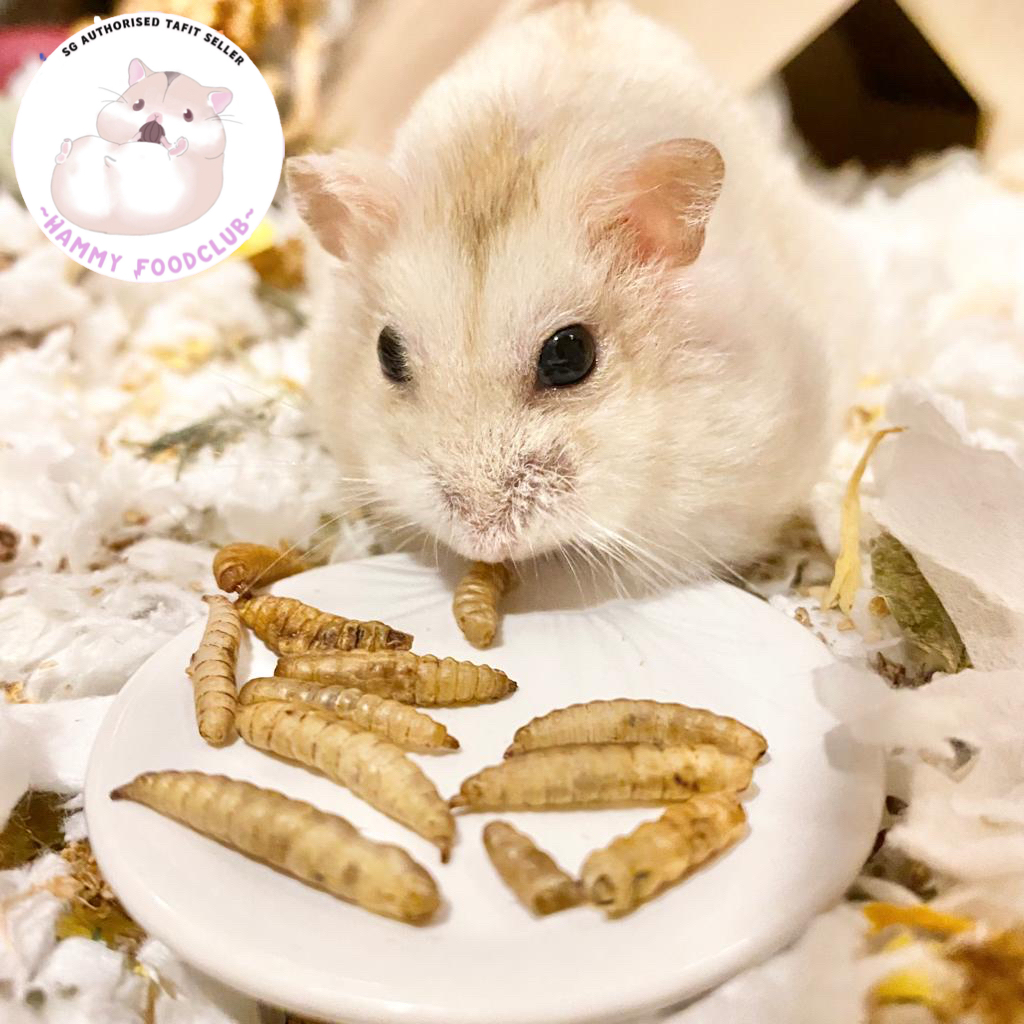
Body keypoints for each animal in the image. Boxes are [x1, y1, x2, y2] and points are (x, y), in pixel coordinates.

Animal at [51, 59, 232, 235]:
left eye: (188, 115)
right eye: (138, 104)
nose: (156, 115)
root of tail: (112, 227)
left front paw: (180, 144)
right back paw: (70, 149)